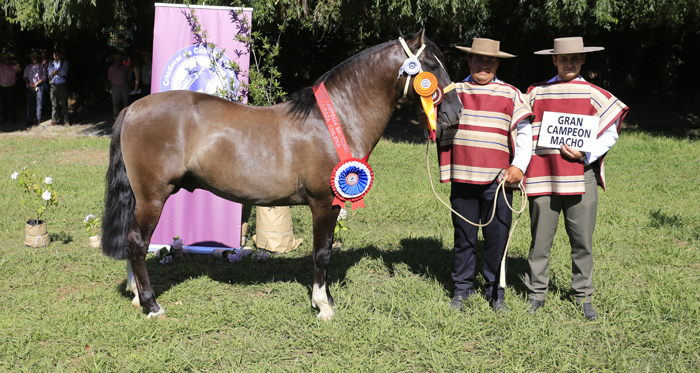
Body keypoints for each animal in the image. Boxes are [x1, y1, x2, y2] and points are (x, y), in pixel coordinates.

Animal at [101, 29, 462, 320]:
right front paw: (323, 306)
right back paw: (152, 305)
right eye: (431, 67)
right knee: (137, 242)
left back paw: (137, 296)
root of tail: (132, 108)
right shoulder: (324, 203)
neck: (336, 119)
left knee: (133, 242)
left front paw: (327, 299)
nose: (455, 112)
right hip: (153, 196)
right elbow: (322, 252)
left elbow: (324, 251)